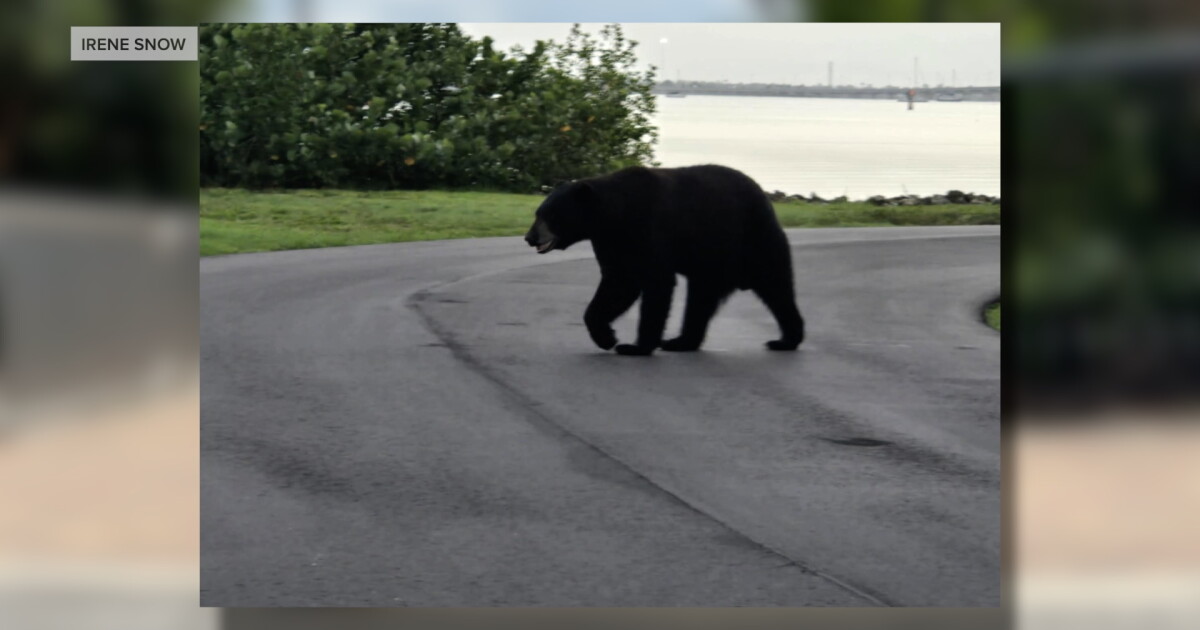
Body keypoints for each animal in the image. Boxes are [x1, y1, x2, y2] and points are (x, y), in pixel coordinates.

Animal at [524, 164, 805, 356]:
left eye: (550, 214)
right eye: (538, 212)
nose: (529, 237)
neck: (616, 214)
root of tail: (765, 198)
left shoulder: (649, 229)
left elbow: (655, 283)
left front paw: (634, 347)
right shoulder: (612, 243)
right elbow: (618, 283)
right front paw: (607, 337)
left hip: (753, 241)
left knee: (777, 288)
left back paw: (786, 340)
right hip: (710, 264)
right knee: (700, 300)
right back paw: (681, 342)